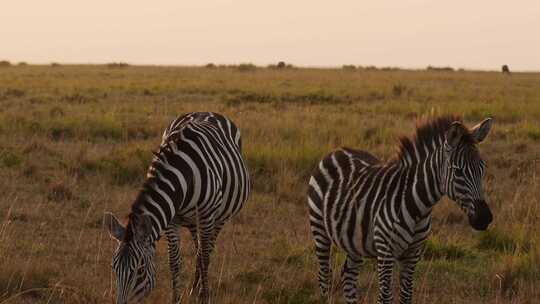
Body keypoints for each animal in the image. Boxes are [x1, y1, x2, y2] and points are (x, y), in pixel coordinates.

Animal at [103, 112, 251, 304]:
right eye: (113, 267)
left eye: (140, 270)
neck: (182, 176)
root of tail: (207, 112)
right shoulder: (171, 219)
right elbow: (174, 261)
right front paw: (176, 298)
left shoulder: (206, 214)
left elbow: (205, 257)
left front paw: (205, 297)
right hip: (192, 220)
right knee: (198, 249)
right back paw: (194, 287)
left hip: (219, 217)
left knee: (206, 250)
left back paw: (200, 289)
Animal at [306, 115, 492, 302]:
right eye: (458, 172)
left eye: (482, 168)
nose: (485, 218)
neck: (418, 208)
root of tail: (337, 151)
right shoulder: (385, 252)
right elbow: (385, 297)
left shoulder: (412, 255)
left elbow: (406, 296)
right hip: (319, 229)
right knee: (324, 277)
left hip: (354, 239)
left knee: (348, 276)